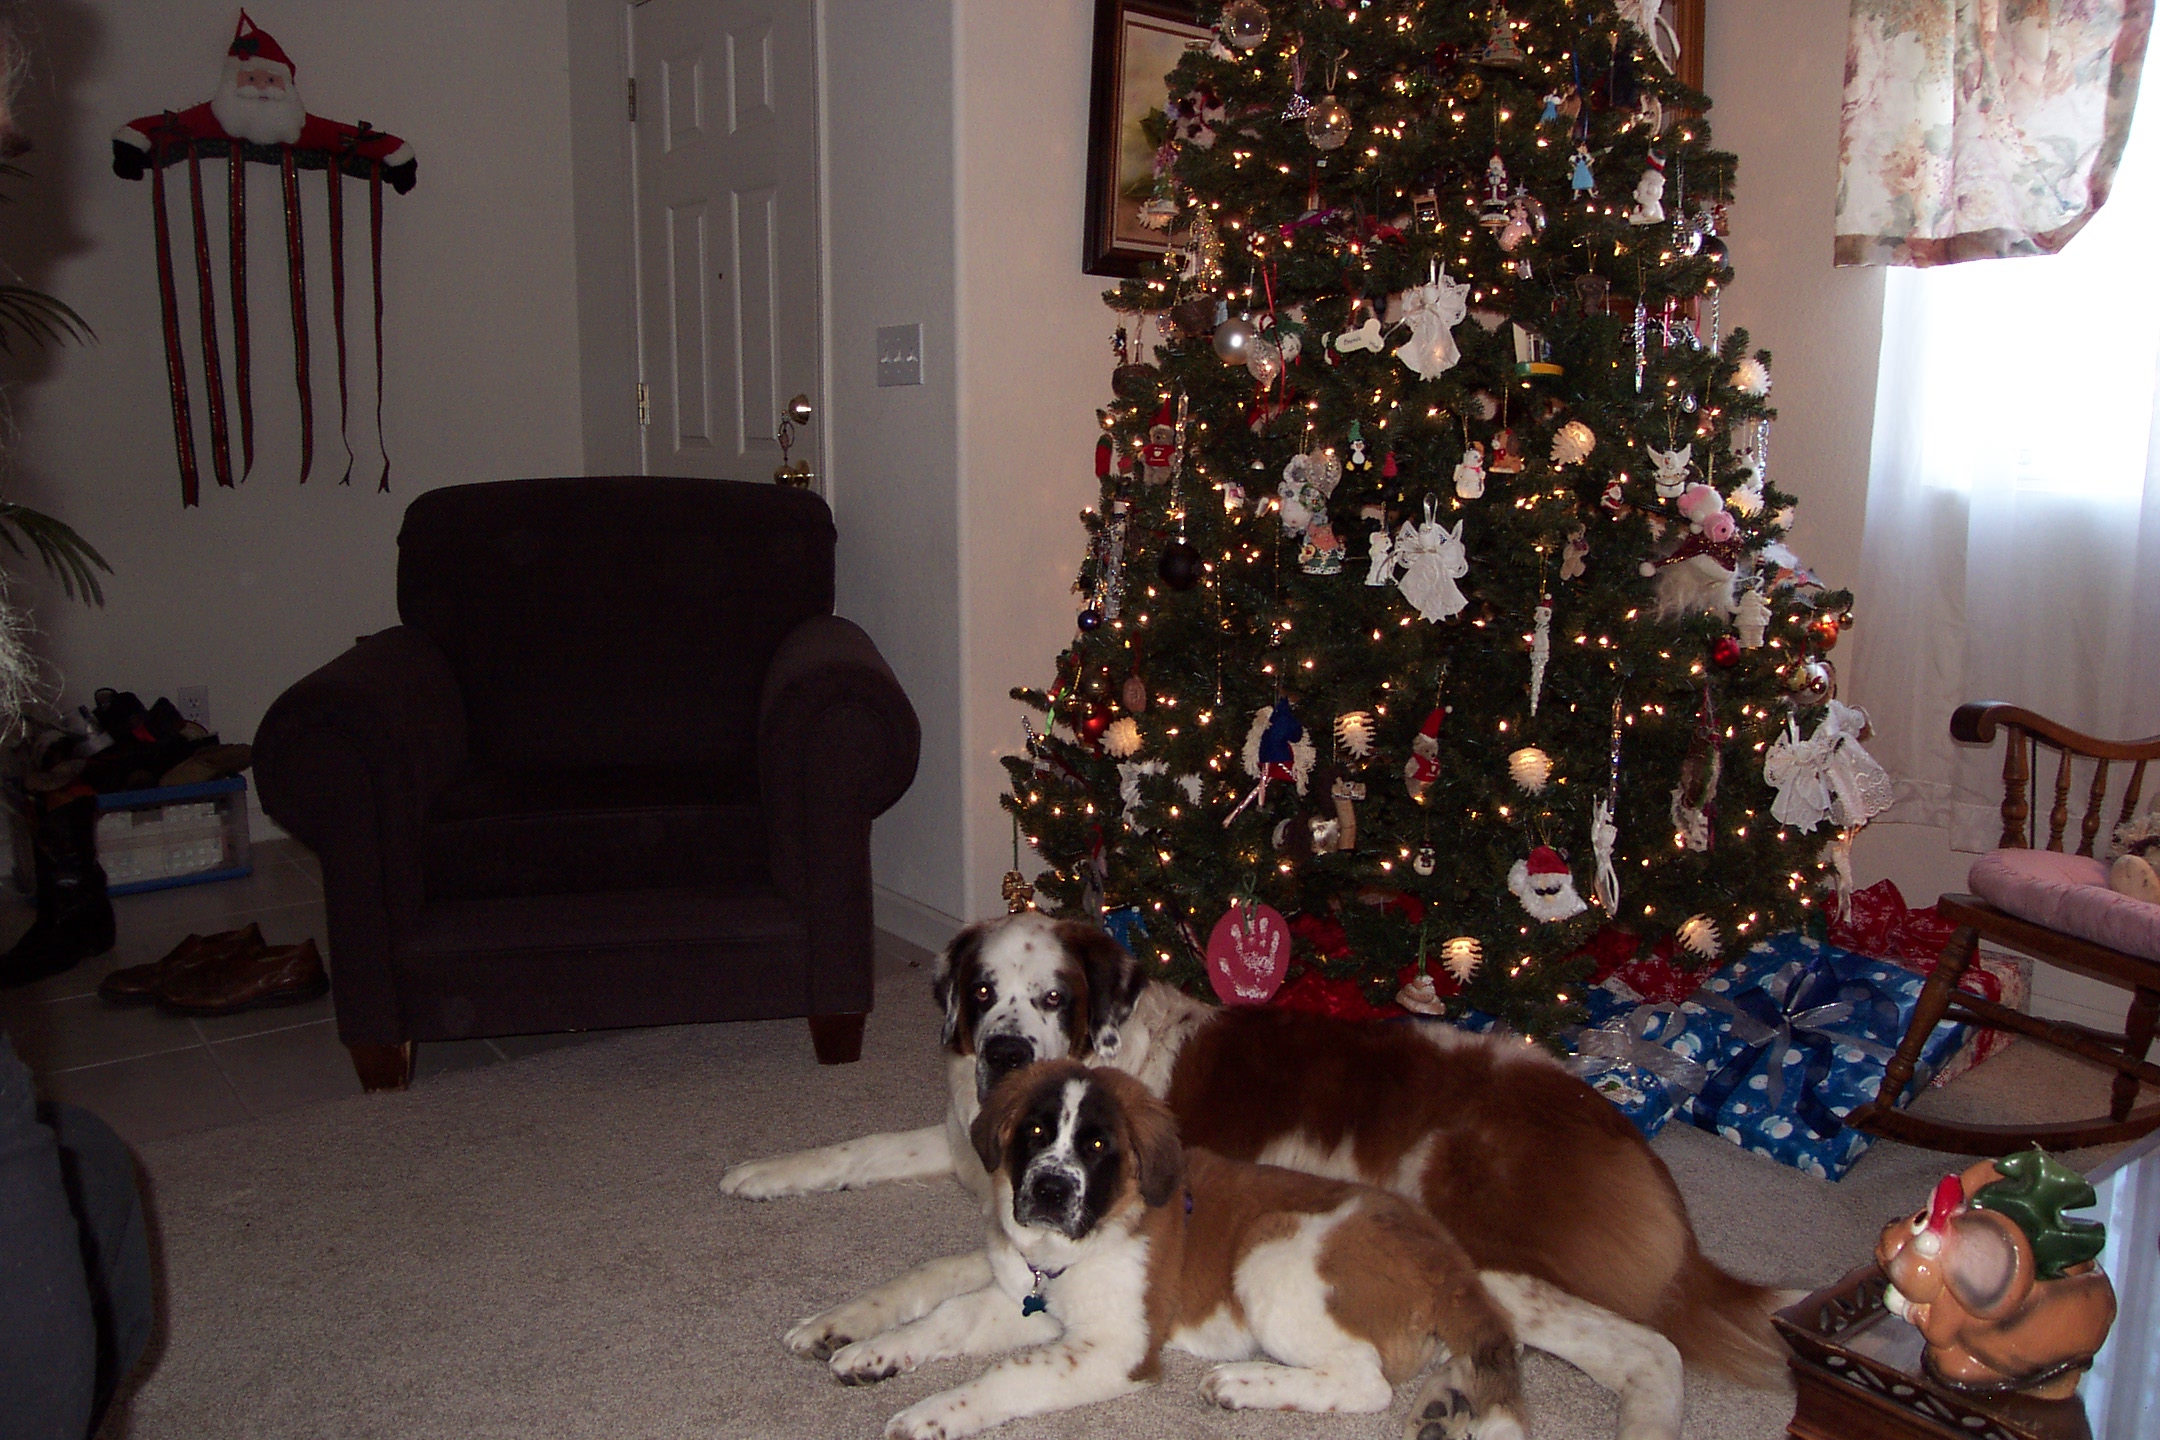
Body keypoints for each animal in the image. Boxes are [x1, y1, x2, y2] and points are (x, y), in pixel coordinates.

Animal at [831, 1060, 1528, 1440]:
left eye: (1097, 1147)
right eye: (1034, 1132)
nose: (1051, 1189)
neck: (1079, 1242)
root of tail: (1450, 1263)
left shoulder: (1117, 1348)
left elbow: (1009, 1375)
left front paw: (932, 1414)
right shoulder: (1035, 1305)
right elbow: (949, 1318)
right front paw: (874, 1353)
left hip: (1271, 1253)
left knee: (1365, 1382)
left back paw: (1243, 1384)